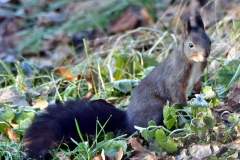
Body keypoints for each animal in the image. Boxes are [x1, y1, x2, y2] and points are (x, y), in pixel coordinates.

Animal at [23, 9, 210, 159]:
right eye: (191, 45)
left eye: (208, 39)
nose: (206, 54)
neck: (192, 63)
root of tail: (127, 121)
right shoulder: (175, 79)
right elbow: (177, 96)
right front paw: (188, 111)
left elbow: (196, 86)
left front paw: (198, 95)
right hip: (155, 110)